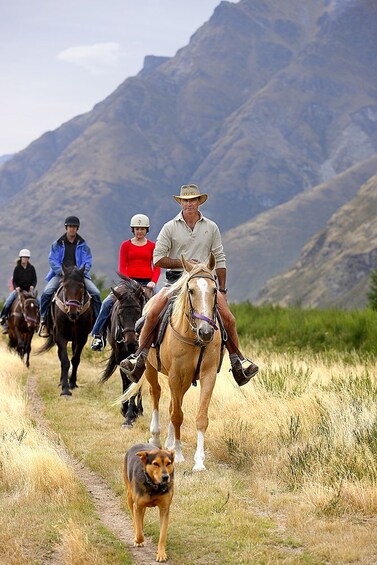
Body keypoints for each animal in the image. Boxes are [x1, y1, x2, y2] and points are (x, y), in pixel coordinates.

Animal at [38, 266, 94, 394]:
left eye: (81, 286)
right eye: (65, 286)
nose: (73, 312)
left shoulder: (82, 337)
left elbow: (75, 360)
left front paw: (72, 383)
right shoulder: (60, 336)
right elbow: (64, 360)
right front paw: (65, 388)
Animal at [100, 274, 152, 428]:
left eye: (138, 311)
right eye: (120, 313)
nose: (130, 342)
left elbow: (134, 384)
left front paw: (130, 416)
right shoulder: (120, 356)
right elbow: (125, 382)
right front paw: (125, 410)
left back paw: (139, 410)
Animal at [121, 253, 220, 470]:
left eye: (214, 290)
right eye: (191, 291)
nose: (206, 332)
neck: (193, 336)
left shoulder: (207, 375)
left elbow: (200, 417)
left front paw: (199, 461)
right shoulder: (175, 375)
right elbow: (177, 415)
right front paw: (179, 454)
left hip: (184, 380)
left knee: (175, 403)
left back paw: (168, 442)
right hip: (151, 368)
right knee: (156, 395)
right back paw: (157, 439)